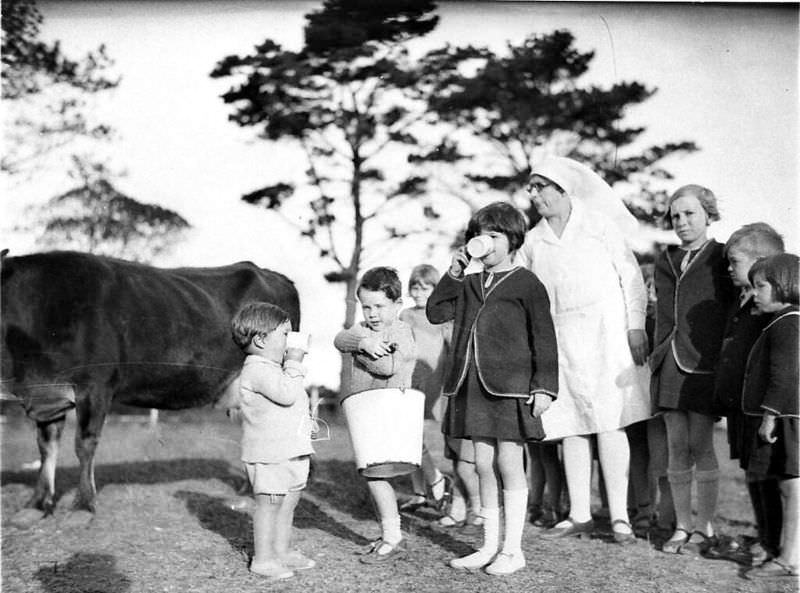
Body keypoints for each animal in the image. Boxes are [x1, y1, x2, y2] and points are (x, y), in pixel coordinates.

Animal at [0, 250, 300, 520]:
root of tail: (272, 274)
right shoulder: (45, 395)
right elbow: (45, 447)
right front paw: (36, 505)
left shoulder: (95, 386)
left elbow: (84, 444)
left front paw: (82, 507)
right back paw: (247, 493)